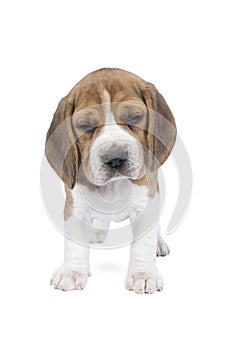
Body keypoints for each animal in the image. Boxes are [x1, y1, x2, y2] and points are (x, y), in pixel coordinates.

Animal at [46, 67, 177, 292]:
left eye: (134, 117)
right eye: (86, 126)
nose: (115, 158)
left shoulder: (146, 202)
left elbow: (144, 242)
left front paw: (143, 274)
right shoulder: (75, 205)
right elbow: (74, 243)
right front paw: (72, 271)